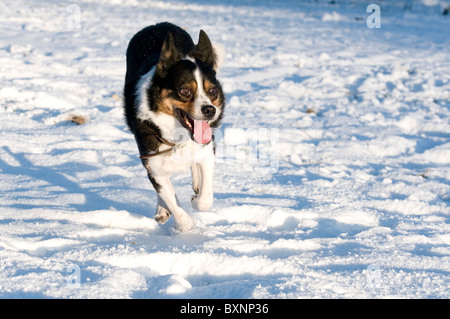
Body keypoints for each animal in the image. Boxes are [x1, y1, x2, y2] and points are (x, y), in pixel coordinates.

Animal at [123, 23, 225, 232]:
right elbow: (173, 202)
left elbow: (205, 198)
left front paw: (196, 199)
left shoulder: (207, 151)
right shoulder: (153, 165)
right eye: (185, 91)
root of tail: (159, 24)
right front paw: (182, 223)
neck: (178, 136)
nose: (209, 110)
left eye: (212, 91)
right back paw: (162, 210)